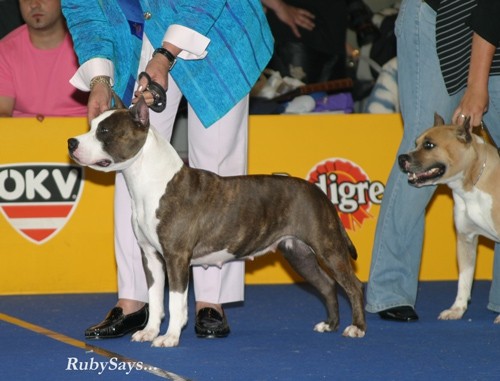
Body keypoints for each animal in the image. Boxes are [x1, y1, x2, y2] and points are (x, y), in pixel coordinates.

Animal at [398, 113, 500, 324]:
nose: (401, 158)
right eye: (416, 142)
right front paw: (457, 310)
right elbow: (464, 280)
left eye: (429, 145)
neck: (473, 182)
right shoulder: (465, 240)